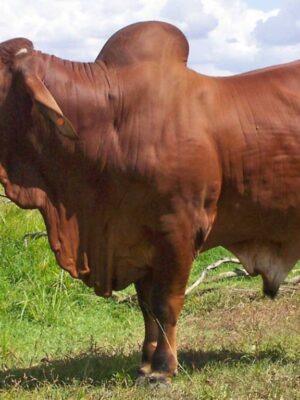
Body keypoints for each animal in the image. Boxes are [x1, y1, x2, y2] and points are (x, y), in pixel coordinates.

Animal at [0, 22, 300, 384]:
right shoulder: (136, 239)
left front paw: (162, 369)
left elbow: (165, 304)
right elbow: (146, 307)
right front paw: (145, 361)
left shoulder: (178, 230)